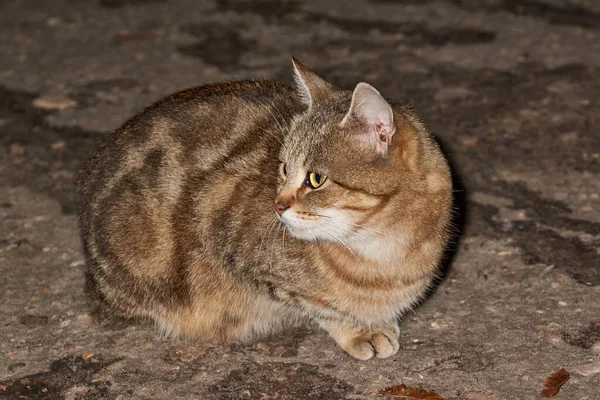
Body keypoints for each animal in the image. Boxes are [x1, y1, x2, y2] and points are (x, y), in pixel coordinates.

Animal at [75, 58, 450, 360]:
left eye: (316, 179)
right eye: (283, 167)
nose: (277, 205)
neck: (385, 252)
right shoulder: (227, 233)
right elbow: (319, 305)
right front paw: (359, 328)